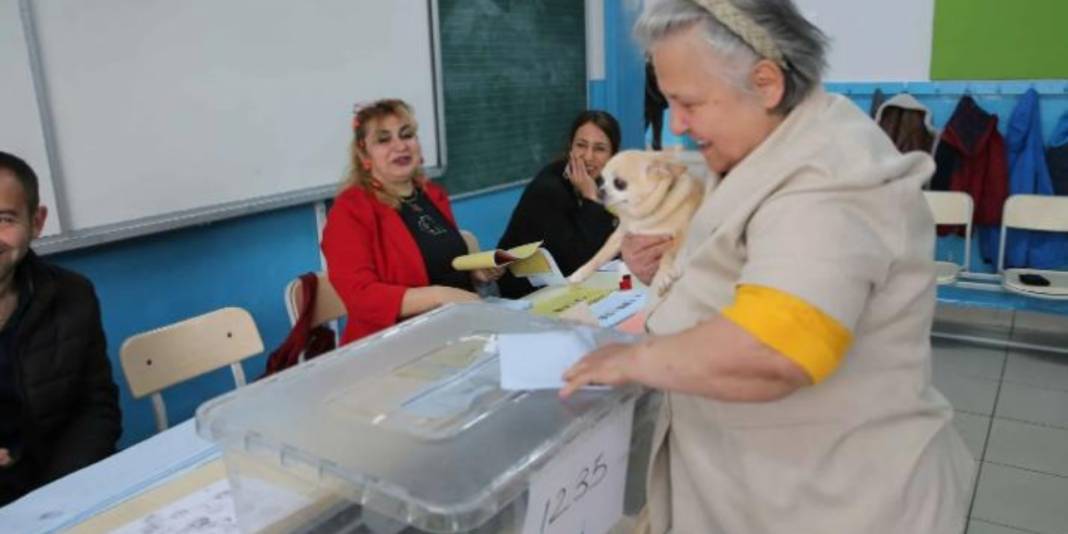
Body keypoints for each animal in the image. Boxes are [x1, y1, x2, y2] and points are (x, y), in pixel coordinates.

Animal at [572, 149, 704, 296]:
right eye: (602, 181)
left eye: (619, 183)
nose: (599, 191)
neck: (645, 214)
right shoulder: (620, 235)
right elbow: (600, 255)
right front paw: (580, 272)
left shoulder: (680, 235)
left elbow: (668, 253)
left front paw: (662, 275)